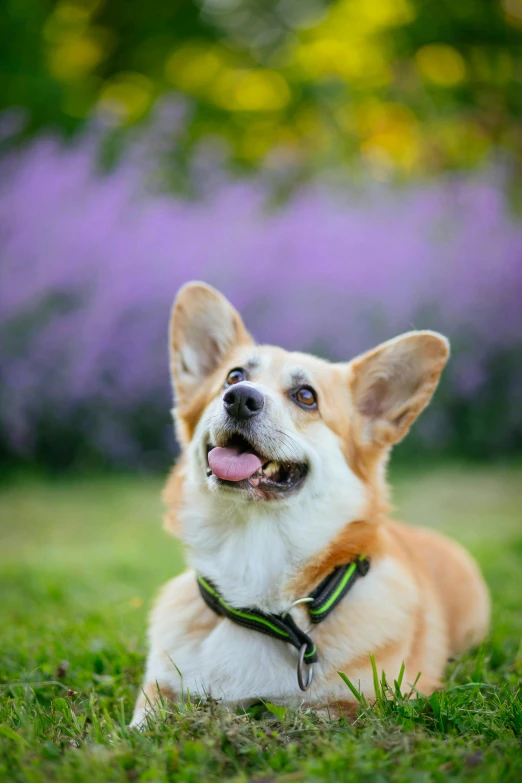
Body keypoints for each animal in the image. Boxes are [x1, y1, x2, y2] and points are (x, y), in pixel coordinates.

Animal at [130, 284, 488, 728]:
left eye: (306, 397)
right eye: (234, 376)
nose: (240, 398)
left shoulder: (366, 704)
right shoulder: (159, 688)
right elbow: (142, 724)